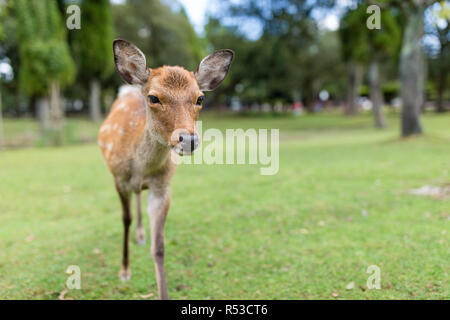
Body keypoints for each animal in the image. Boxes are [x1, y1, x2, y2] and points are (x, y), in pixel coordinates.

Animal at [97, 38, 234, 298]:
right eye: (153, 98)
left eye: (200, 98)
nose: (188, 139)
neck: (140, 168)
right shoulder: (118, 179)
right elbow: (125, 219)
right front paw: (124, 271)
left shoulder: (163, 188)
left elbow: (159, 247)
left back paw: (142, 234)